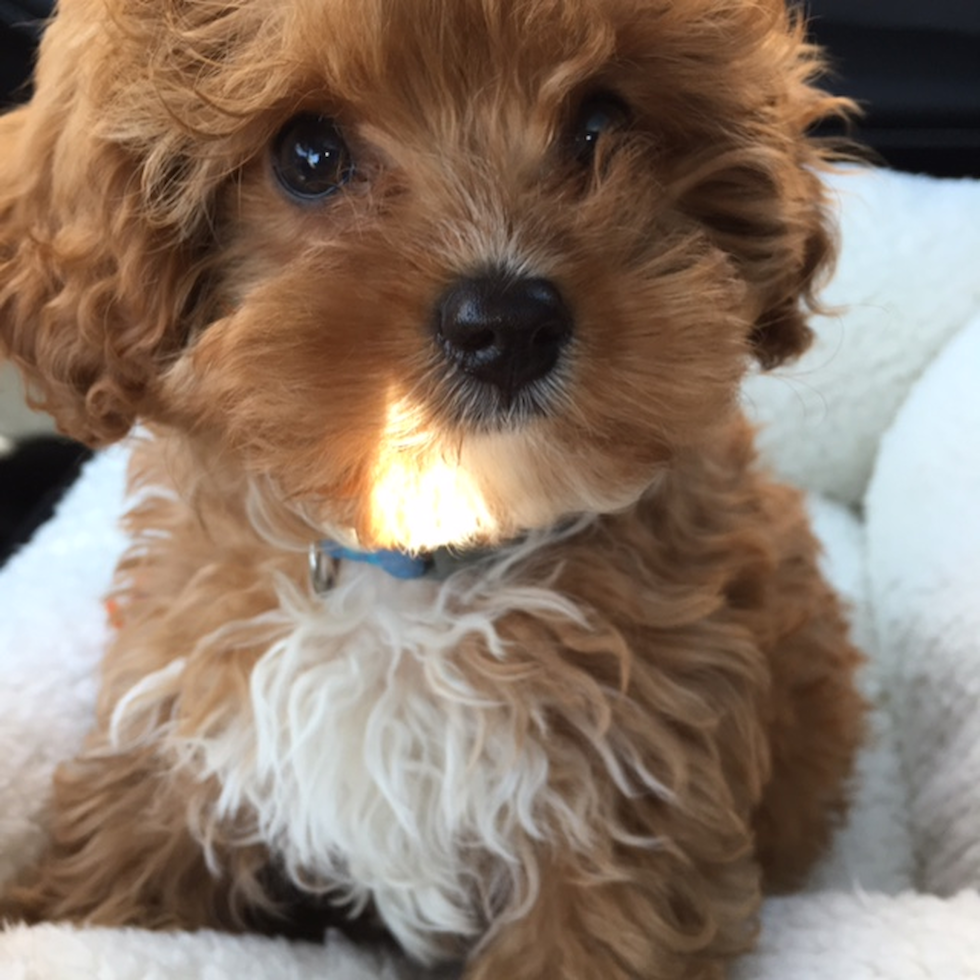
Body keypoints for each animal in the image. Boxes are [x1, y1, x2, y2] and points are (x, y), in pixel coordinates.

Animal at [0, 0, 856, 976]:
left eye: (601, 122)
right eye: (308, 155)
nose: (508, 323)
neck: (417, 564)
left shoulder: (626, 808)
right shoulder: (187, 723)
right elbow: (113, 870)